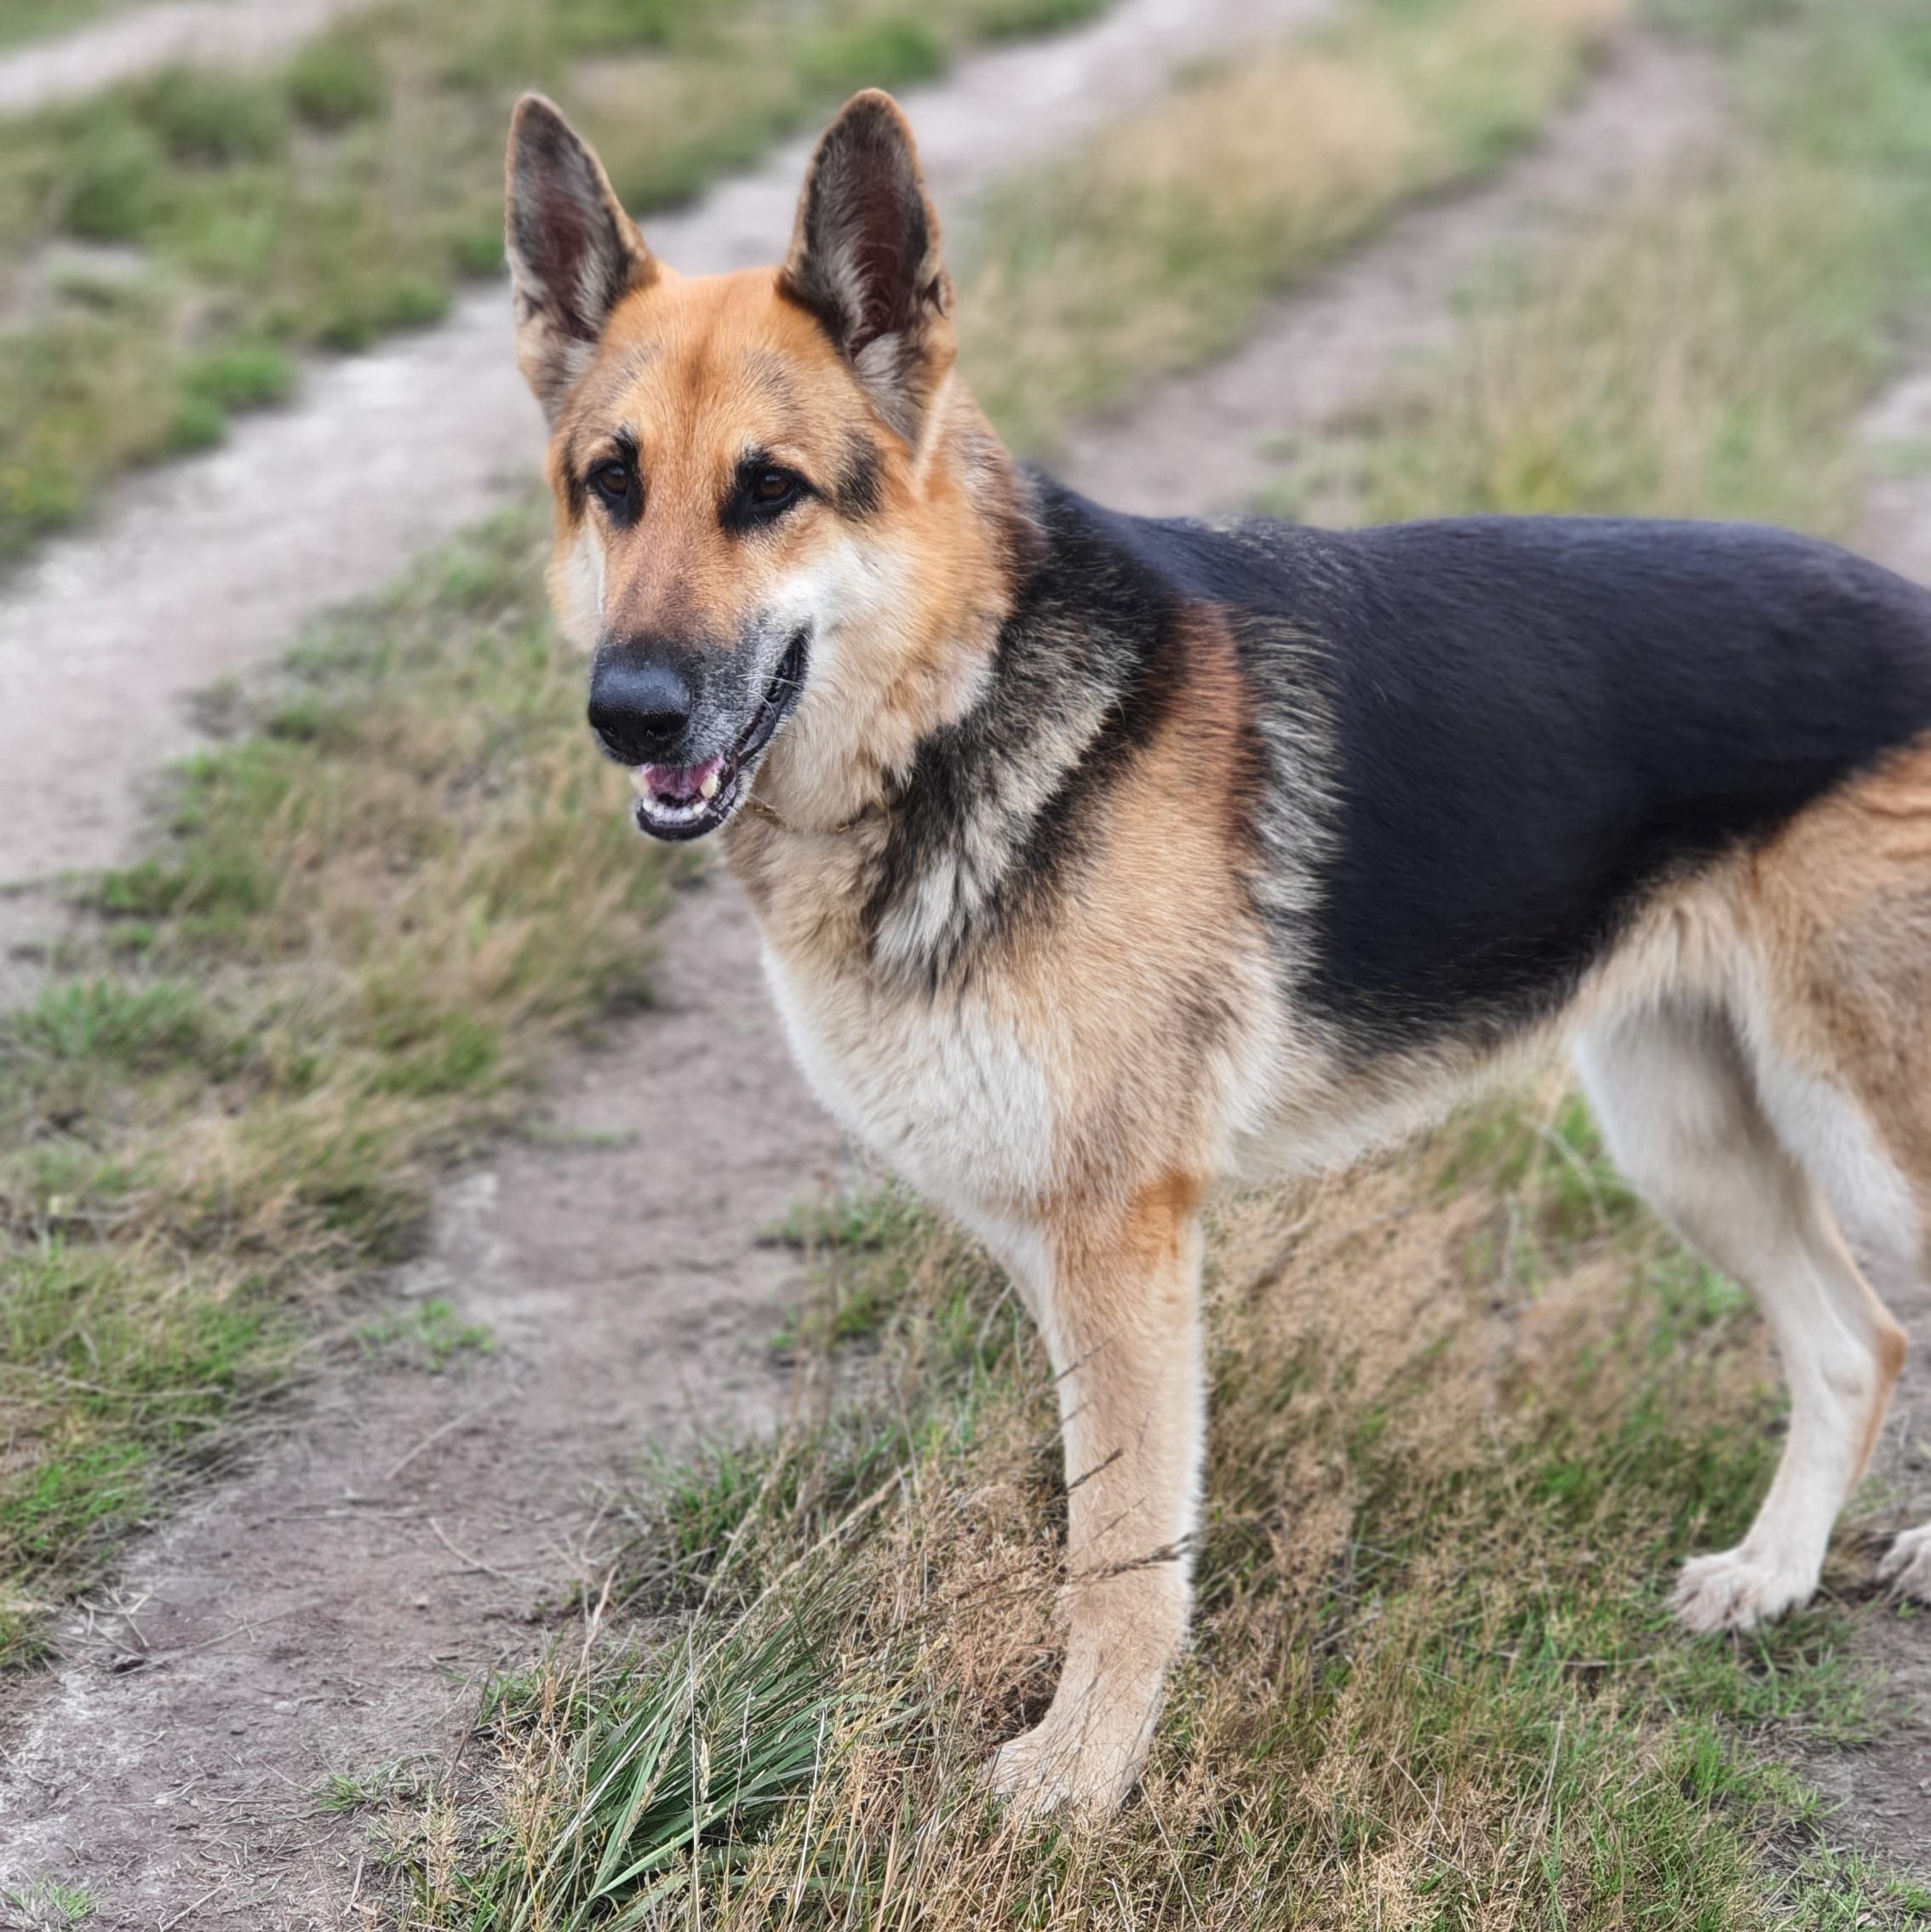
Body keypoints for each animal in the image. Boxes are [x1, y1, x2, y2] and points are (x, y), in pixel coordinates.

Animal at [506, 87, 1931, 1808]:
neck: (958, 705)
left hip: (1862, 1123)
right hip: (1687, 1134)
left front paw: (1079, 1780)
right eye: (612, 481)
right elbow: (1104, 1515)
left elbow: (1118, 1549)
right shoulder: (1057, 1248)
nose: (628, 713)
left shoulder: (1121, 1241)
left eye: (770, 489)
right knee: (1856, 1341)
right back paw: (1771, 1571)